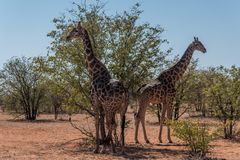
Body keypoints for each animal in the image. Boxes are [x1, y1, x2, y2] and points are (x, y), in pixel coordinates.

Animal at [65, 21, 129, 153]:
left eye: (75, 30)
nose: (67, 37)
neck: (93, 71)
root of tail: (125, 92)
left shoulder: (94, 101)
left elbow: (97, 122)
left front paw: (97, 148)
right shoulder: (102, 104)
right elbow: (102, 122)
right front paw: (105, 147)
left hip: (112, 106)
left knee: (112, 124)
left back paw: (111, 146)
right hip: (122, 107)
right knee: (120, 124)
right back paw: (121, 148)